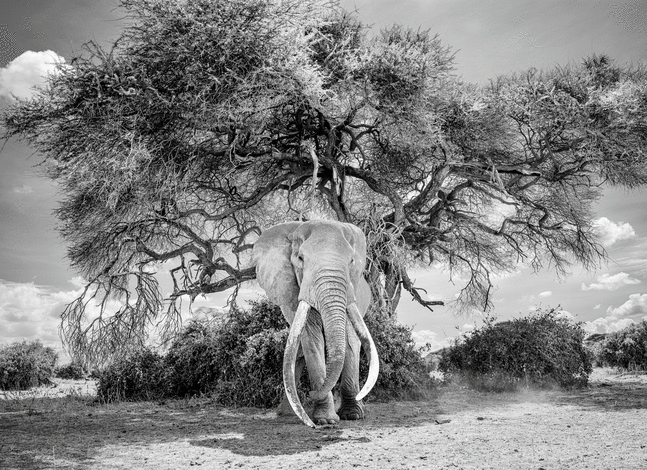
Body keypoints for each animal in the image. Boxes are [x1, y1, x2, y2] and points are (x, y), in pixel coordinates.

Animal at [252, 218, 380, 428]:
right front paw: (325, 420)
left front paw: (351, 415)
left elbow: (350, 340)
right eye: (301, 258)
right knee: (299, 350)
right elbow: (311, 339)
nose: (311, 393)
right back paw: (288, 412)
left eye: (352, 261)